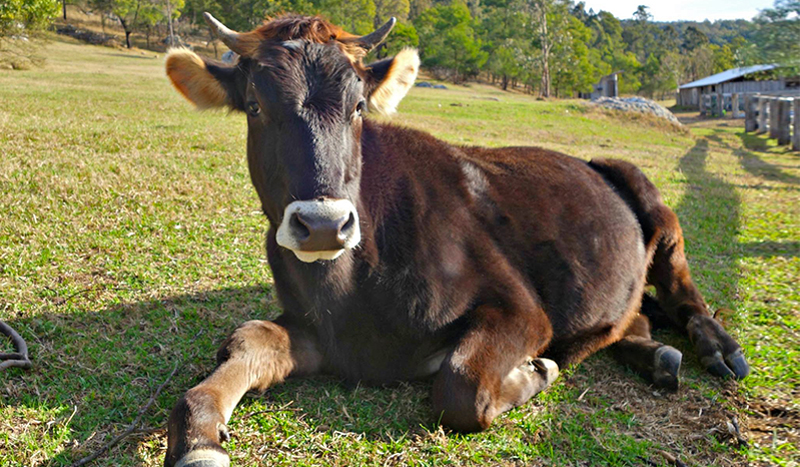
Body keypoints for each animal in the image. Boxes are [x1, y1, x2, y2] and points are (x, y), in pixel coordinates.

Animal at [164, 12, 752, 466]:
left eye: (358, 108)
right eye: (256, 107)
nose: (325, 224)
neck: (353, 290)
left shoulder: (521, 310)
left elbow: (461, 386)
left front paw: (535, 371)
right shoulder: (315, 330)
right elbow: (247, 341)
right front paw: (199, 434)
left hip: (649, 198)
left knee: (681, 288)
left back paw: (717, 347)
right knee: (638, 313)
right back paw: (651, 352)